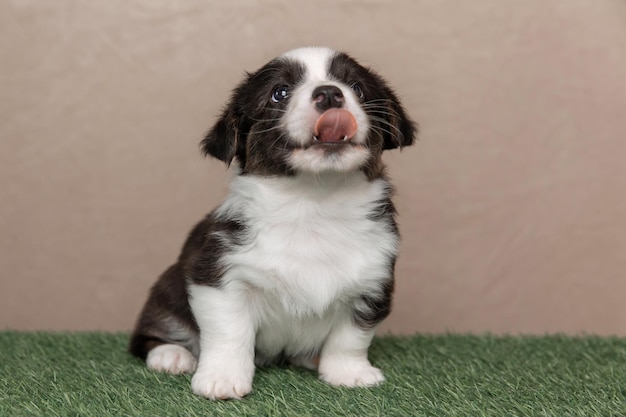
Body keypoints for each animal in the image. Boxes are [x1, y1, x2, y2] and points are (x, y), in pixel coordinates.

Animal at [128, 46, 414, 400]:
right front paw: (221, 378)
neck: (314, 202)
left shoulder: (372, 285)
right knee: (151, 335)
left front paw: (348, 373)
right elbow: (229, 332)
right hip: (165, 292)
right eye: (280, 93)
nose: (330, 93)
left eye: (357, 88)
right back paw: (172, 354)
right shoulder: (220, 278)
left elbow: (351, 337)